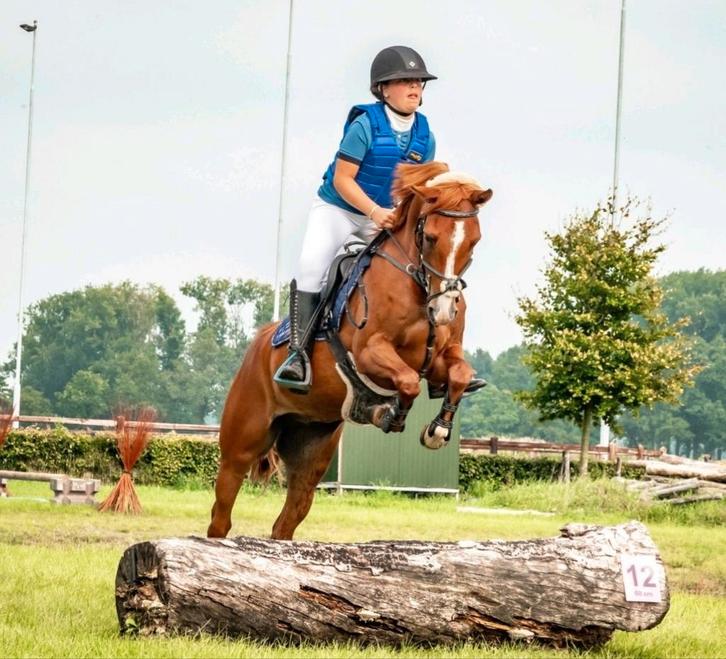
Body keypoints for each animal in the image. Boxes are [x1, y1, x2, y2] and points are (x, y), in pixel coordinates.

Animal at [208, 161, 493, 540]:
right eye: (431, 237)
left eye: (473, 242)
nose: (445, 309)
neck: (417, 286)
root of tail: (256, 346)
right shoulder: (370, 352)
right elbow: (407, 382)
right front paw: (388, 413)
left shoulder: (440, 358)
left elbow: (459, 375)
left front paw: (437, 430)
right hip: (241, 444)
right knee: (221, 516)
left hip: (311, 448)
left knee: (287, 520)